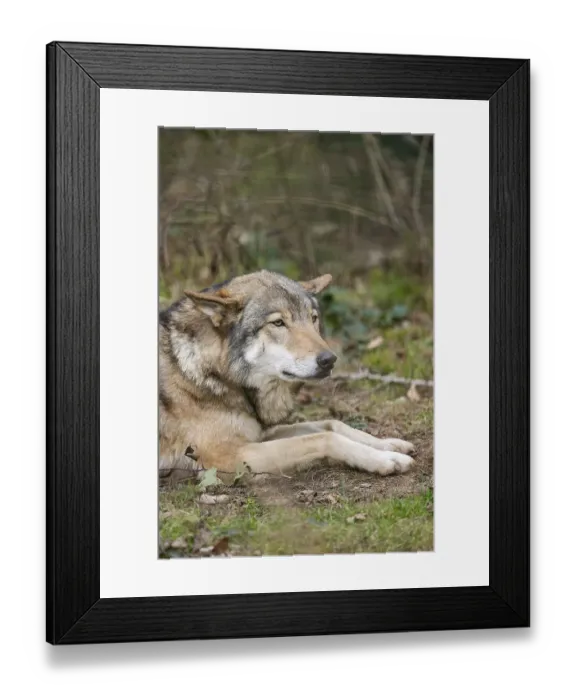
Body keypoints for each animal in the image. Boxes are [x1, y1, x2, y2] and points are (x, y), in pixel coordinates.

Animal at [159, 270, 414, 479]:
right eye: (278, 323)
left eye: (313, 318)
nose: (329, 360)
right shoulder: (227, 456)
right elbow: (323, 437)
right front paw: (385, 460)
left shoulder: (259, 435)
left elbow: (333, 424)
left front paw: (389, 445)